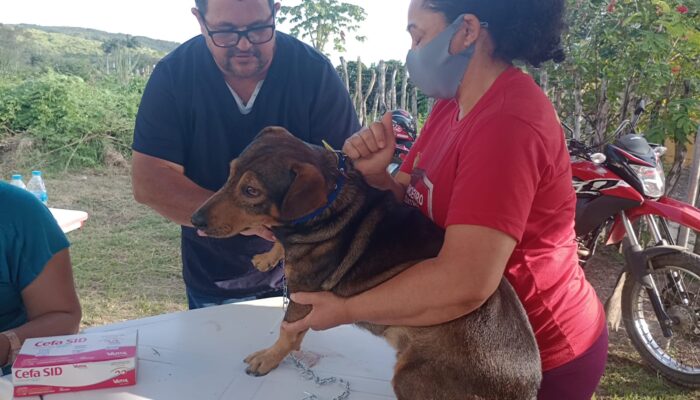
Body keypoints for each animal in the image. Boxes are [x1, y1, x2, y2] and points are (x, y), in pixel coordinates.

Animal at [191, 127, 540, 400]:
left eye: (251, 191)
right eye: (230, 173)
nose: (195, 220)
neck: (328, 202)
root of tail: (528, 386)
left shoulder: (303, 295)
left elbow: (288, 331)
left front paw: (269, 358)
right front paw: (270, 254)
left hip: (411, 376)